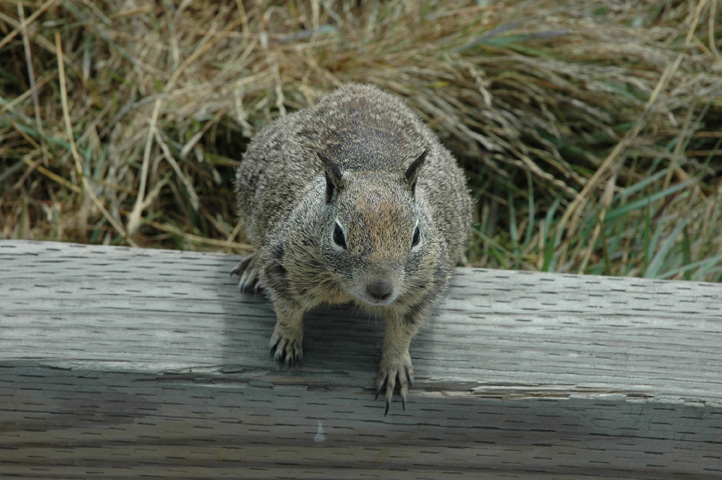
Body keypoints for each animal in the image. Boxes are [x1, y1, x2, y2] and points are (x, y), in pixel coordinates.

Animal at [231, 82, 476, 412]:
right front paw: (287, 340)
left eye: (416, 236)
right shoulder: (283, 264)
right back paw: (251, 266)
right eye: (338, 234)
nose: (381, 289)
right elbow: (287, 310)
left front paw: (395, 366)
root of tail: (361, 88)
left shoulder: (424, 286)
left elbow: (403, 331)